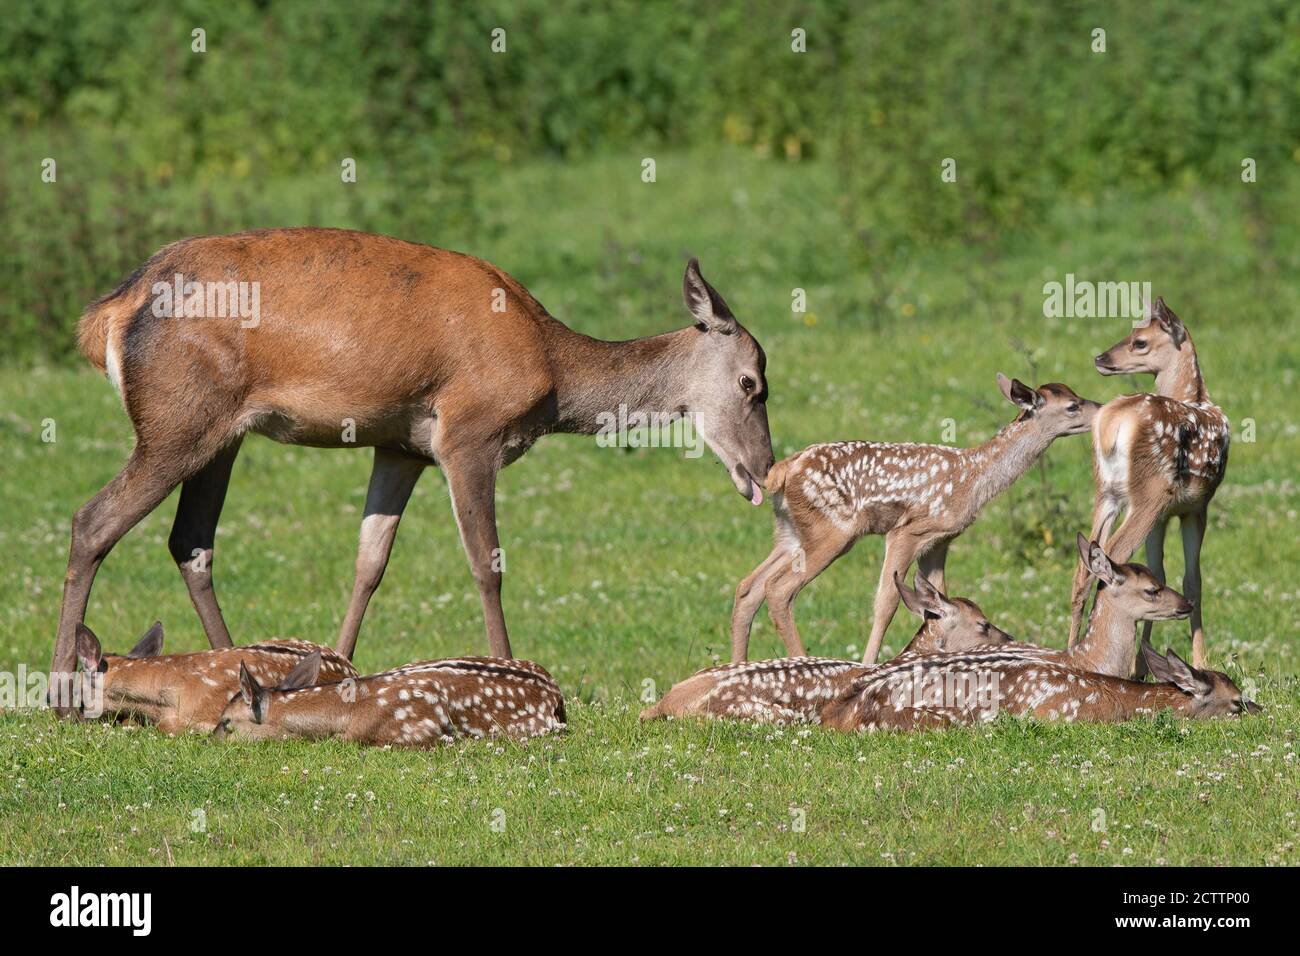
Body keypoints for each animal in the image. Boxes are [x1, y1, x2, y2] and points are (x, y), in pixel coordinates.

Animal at [50, 228, 774, 712]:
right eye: (752, 384)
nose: (764, 470)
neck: (553, 372)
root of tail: (108, 314)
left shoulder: (400, 447)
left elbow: (370, 561)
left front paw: (339, 667)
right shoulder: (469, 433)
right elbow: (486, 561)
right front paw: (511, 669)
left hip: (219, 434)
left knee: (191, 541)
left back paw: (234, 667)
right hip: (177, 420)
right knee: (93, 520)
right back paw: (60, 690)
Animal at [730, 373, 1099, 666]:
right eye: (1072, 406)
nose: (1099, 408)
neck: (973, 478)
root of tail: (783, 471)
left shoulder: (940, 541)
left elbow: (940, 596)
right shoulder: (908, 531)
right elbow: (886, 601)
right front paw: (868, 666)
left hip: (792, 532)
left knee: (750, 586)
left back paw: (738, 666)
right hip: (832, 531)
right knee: (779, 590)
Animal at [1068, 298, 1228, 671]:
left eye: (1138, 341)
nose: (1100, 358)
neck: (1195, 395)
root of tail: (1111, 424)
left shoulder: (1165, 515)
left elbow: (1160, 573)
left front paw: (1143, 665)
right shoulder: (1197, 506)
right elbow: (1193, 581)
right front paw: (1200, 662)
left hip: (1108, 493)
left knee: (1081, 569)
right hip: (1148, 493)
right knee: (1109, 559)